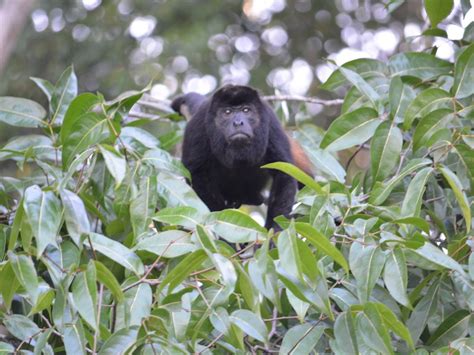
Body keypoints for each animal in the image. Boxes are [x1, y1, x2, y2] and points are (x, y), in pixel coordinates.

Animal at [172, 86, 312, 231]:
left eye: (246, 110)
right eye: (227, 112)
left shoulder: (271, 121)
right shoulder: (198, 125)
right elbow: (196, 174)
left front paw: (273, 230)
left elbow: (283, 172)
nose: (238, 122)